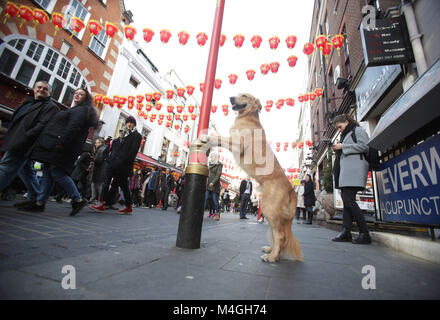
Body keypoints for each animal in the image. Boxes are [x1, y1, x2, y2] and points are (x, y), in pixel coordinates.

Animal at [199, 92, 302, 262]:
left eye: (244, 95)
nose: (231, 98)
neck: (247, 117)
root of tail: (291, 189)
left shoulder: (238, 143)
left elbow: (219, 138)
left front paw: (207, 138)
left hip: (269, 209)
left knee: (280, 235)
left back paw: (272, 257)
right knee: (278, 235)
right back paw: (271, 250)